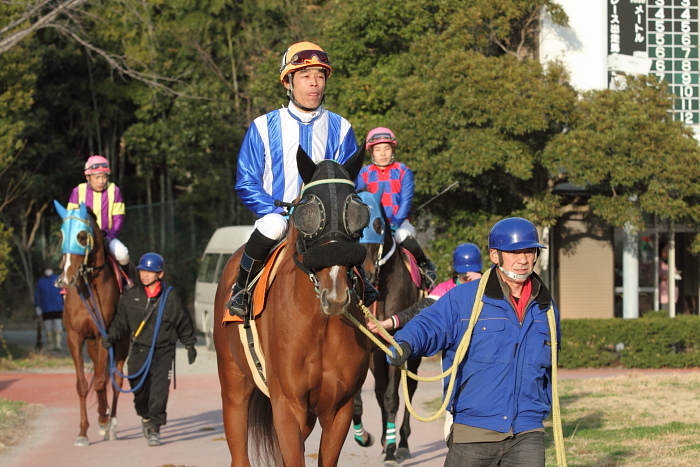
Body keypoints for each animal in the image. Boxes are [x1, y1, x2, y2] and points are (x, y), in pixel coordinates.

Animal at [54, 200, 128, 446]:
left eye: (81, 236)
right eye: (61, 234)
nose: (65, 279)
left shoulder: (104, 335)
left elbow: (100, 381)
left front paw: (104, 420)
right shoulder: (75, 337)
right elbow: (83, 385)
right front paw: (82, 432)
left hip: (121, 343)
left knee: (115, 379)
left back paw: (111, 424)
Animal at [213, 145, 372, 464]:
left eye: (356, 211)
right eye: (308, 212)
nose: (335, 293)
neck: (320, 326)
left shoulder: (339, 408)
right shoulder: (287, 407)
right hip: (234, 384)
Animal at [352, 189, 424, 464]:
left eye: (378, 225)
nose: (367, 275)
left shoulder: (398, 345)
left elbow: (393, 397)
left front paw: (393, 450)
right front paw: (370, 438)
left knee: (409, 389)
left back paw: (400, 443)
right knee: (381, 391)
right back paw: (385, 440)